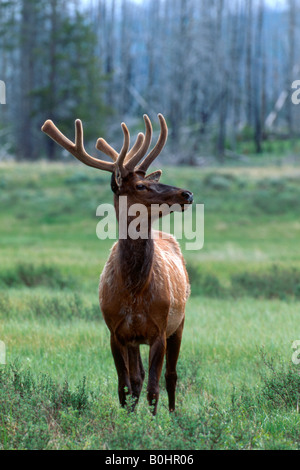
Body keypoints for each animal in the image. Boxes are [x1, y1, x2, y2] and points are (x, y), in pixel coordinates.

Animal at [41, 114, 192, 414]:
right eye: (140, 186)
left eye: (148, 180)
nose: (187, 194)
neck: (134, 289)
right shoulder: (116, 331)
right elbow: (126, 386)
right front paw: (128, 419)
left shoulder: (159, 330)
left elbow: (153, 388)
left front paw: (152, 423)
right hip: (138, 338)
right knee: (139, 378)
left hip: (179, 322)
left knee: (171, 376)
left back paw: (173, 416)